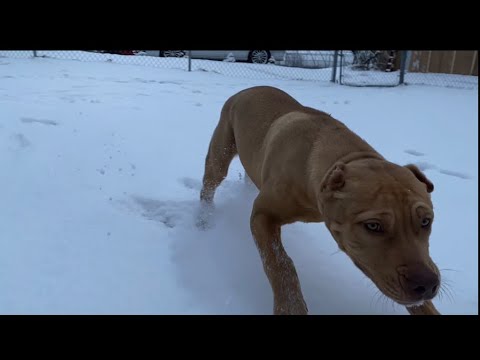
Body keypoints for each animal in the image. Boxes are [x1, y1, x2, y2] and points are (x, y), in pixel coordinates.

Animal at [200, 85, 442, 316]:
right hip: (220, 155)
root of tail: (246, 90)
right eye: (373, 226)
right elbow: (280, 263)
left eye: (426, 221)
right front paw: (290, 306)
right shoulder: (262, 215)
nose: (427, 284)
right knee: (209, 187)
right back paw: (203, 219)